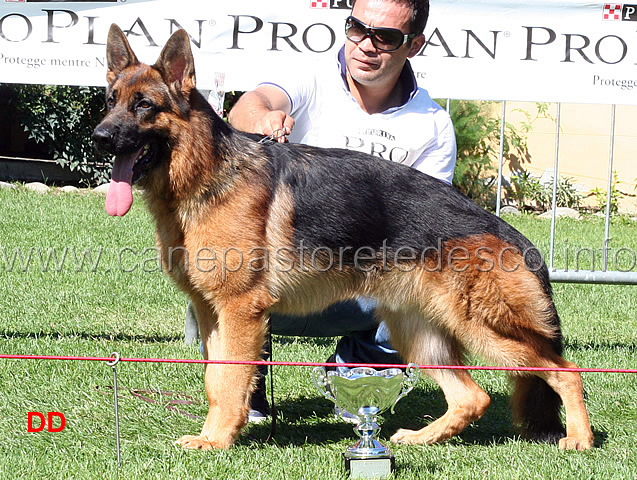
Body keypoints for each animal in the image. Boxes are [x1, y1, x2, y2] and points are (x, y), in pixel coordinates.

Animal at [92, 25, 592, 450]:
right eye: (111, 101)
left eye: (144, 106)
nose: (99, 137)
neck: (205, 174)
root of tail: (511, 234)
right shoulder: (211, 311)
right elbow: (216, 380)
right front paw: (218, 434)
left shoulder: (239, 311)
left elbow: (229, 380)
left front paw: (216, 441)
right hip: (417, 334)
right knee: (474, 397)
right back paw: (421, 438)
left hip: (486, 329)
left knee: (566, 371)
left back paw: (580, 440)